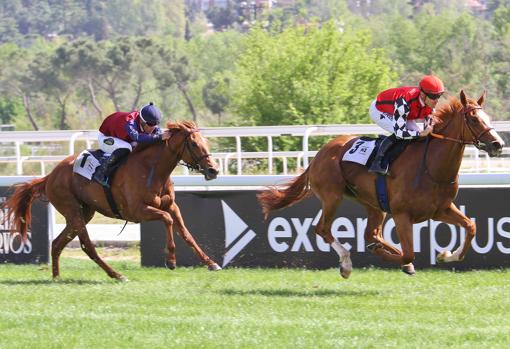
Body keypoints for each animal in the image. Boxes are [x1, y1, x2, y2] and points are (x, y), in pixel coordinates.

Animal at [1, 119, 221, 280]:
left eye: (207, 142)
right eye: (194, 144)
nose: (214, 170)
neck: (152, 169)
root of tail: (50, 175)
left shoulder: (172, 206)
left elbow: (186, 233)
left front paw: (211, 263)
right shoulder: (138, 211)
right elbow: (166, 220)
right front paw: (172, 260)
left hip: (83, 212)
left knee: (56, 243)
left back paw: (56, 278)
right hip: (73, 210)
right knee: (88, 247)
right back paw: (117, 274)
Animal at [258, 90, 506, 278]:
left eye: (488, 118)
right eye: (473, 119)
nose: (498, 144)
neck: (430, 167)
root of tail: (319, 154)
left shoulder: (441, 209)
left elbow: (471, 226)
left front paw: (446, 255)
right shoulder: (402, 214)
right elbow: (409, 253)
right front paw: (402, 260)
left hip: (374, 204)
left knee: (371, 234)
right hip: (332, 196)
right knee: (323, 229)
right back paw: (346, 264)